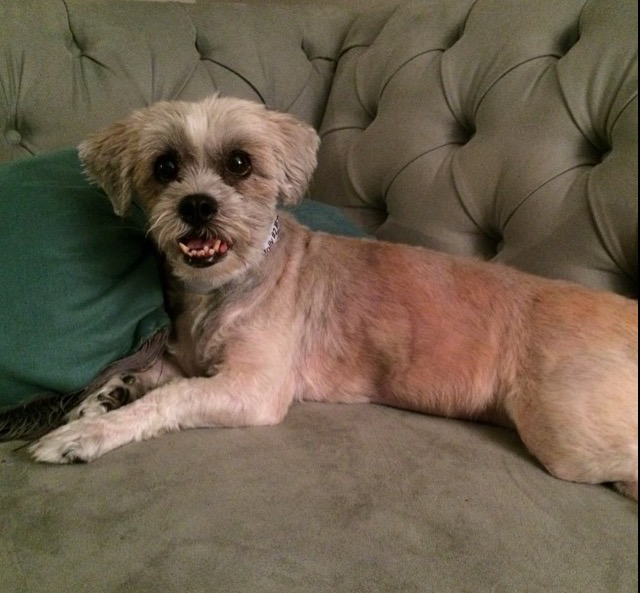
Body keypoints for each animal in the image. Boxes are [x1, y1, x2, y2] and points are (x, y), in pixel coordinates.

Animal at [28, 95, 638, 499]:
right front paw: (105, 397)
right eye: (165, 166)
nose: (197, 204)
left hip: (568, 433)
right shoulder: (197, 363)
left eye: (240, 163)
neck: (225, 286)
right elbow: (152, 376)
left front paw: (87, 433)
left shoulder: (253, 388)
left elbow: (168, 398)